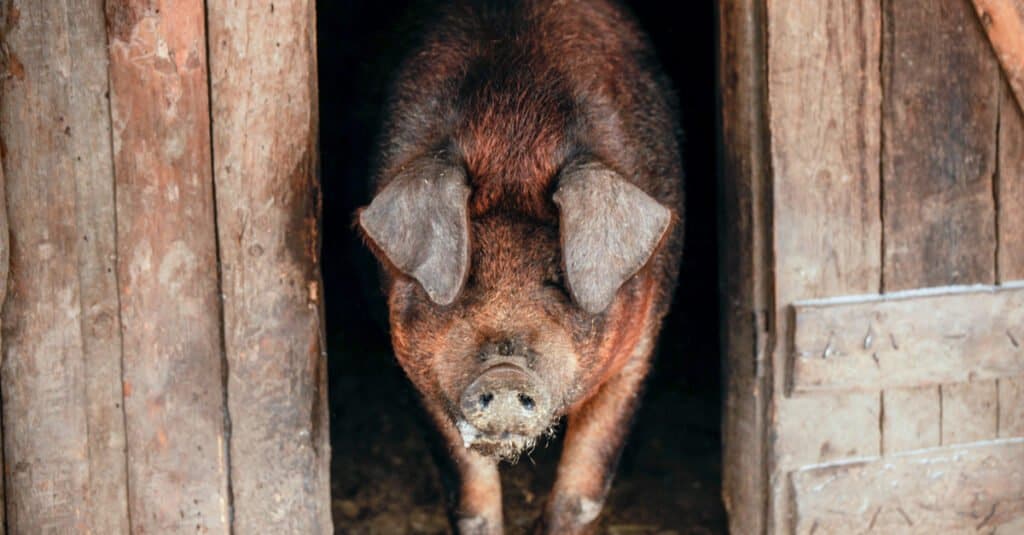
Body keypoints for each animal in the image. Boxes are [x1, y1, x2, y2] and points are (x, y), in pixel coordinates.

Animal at [356, 1, 684, 528]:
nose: (505, 373)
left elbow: (584, 486)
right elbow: (469, 494)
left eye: (556, 281)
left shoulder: (642, 339)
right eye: (467, 278)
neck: (515, 137)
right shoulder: (414, 363)